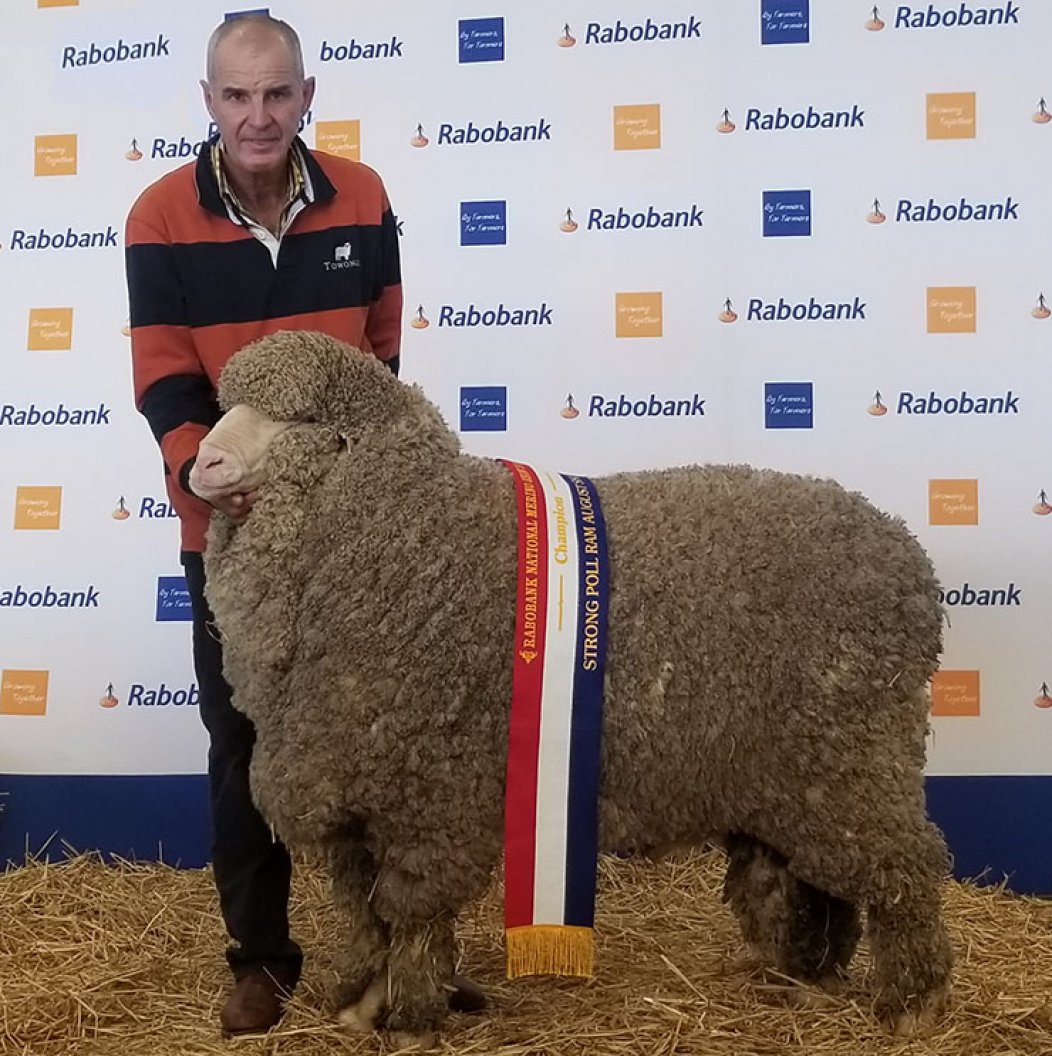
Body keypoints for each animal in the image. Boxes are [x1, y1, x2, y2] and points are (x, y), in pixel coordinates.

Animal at [189, 329, 954, 1047]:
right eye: (229, 406)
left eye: (298, 420)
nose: (202, 463)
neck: (406, 541)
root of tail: (909, 561)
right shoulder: (355, 799)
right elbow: (366, 913)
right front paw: (360, 1002)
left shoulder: (430, 796)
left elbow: (409, 911)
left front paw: (410, 1017)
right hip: (793, 779)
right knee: (814, 878)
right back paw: (810, 977)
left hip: (854, 756)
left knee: (906, 868)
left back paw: (914, 1004)